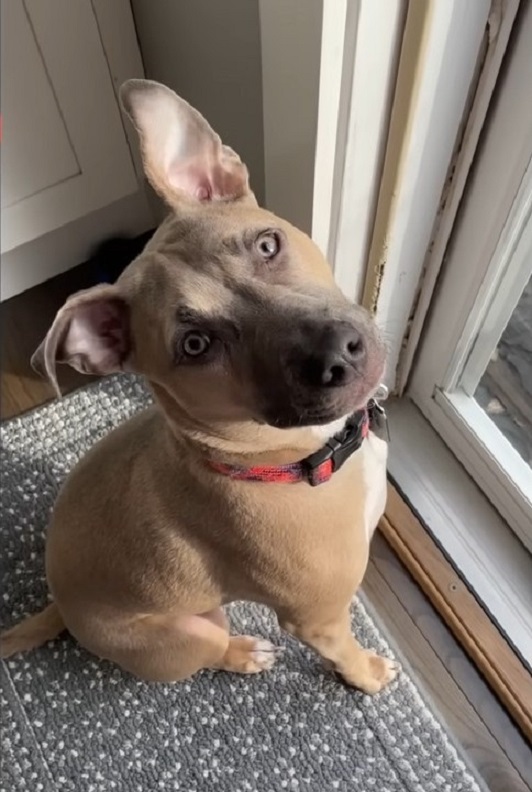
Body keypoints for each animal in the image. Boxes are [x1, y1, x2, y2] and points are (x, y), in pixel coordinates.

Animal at [1, 80, 400, 696]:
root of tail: (61, 606)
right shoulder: (318, 619)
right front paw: (368, 674)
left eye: (267, 245)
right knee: (211, 648)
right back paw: (245, 653)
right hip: (195, 629)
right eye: (195, 344)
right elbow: (347, 652)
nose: (337, 354)